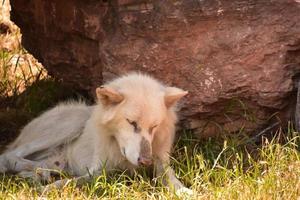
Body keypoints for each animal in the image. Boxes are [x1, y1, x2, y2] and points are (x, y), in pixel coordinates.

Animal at [0, 73, 191, 194]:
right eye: (131, 123)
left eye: (154, 126)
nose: (145, 162)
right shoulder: (98, 171)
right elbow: (69, 182)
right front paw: (45, 190)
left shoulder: (161, 161)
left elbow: (170, 177)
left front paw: (183, 190)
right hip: (74, 121)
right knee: (9, 156)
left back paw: (43, 173)